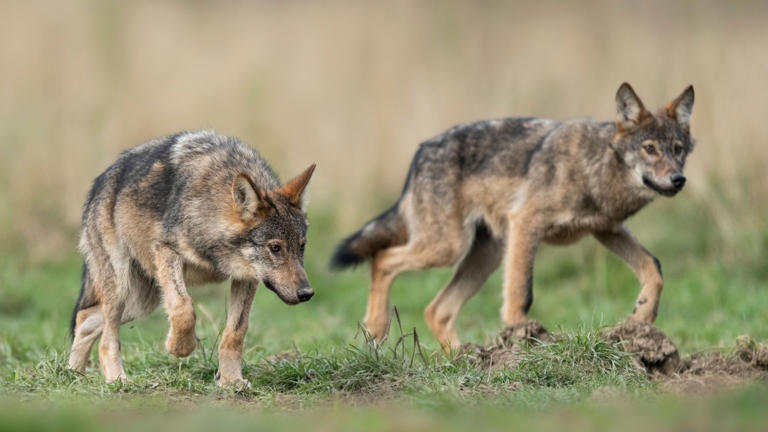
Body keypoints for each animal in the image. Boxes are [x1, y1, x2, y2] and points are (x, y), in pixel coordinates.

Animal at [68, 130, 316, 386]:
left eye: (302, 247)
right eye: (275, 248)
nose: (306, 293)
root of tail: (99, 182)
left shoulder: (246, 277)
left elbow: (236, 332)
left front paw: (231, 381)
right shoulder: (167, 251)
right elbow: (184, 308)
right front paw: (179, 348)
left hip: (141, 302)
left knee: (85, 318)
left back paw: (72, 374)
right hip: (122, 289)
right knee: (106, 339)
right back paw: (117, 379)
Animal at [331, 83, 695, 350]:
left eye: (678, 150)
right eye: (650, 148)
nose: (678, 180)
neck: (596, 165)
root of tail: (421, 151)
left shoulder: (607, 229)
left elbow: (654, 267)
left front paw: (642, 321)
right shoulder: (526, 223)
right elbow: (522, 293)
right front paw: (523, 339)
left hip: (484, 256)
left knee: (437, 310)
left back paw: (464, 360)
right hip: (447, 249)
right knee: (383, 259)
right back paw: (377, 329)